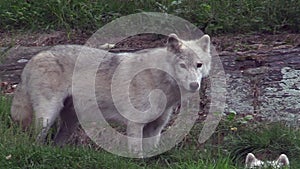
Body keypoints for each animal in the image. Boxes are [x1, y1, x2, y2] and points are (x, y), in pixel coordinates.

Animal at [9, 33, 211, 154]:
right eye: (182, 65)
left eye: (199, 65)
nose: (194, 85)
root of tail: (34, 58)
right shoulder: (135, 125)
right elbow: (137, 153)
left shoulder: (156, 128)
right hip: (47, 117)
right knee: (36, 140)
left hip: (69, 123)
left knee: (55, 142)